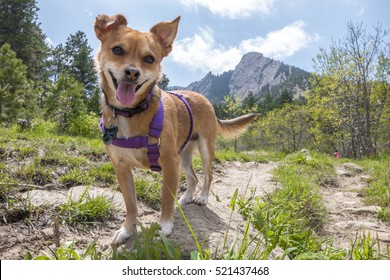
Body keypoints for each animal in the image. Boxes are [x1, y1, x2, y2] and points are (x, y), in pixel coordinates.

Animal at [94, 14, 258, 244]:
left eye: (149, 59)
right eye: (117, 50)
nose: (132, 72)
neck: (131, 112)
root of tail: (203, 98)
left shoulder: (170, 164)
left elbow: (165, 199)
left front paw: (164, 227)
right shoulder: (122, 168)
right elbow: (131, 204)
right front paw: (127, 230)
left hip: (205, 150)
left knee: (208, 175)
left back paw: (202, 197)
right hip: (184, 156)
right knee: (193, 177)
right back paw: (187, 197)